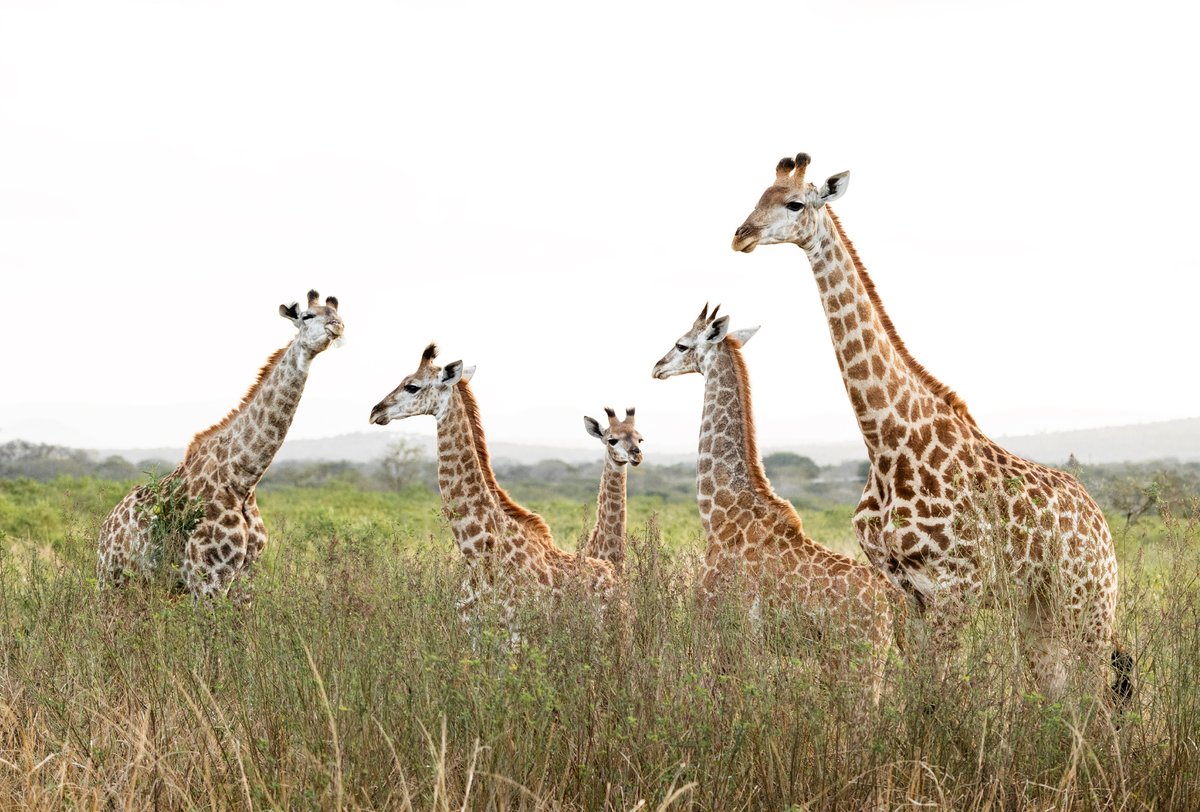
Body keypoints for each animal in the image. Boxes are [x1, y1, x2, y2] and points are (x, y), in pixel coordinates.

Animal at [97, 290, 344, 598]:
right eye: (307, 316)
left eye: (338, 314)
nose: (337, 326)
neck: (242, 479)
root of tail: (105, 526)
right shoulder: (209, 578)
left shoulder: (246, 579)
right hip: (111, 577)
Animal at [368, 344, 616, 631]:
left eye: (412, 386)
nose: (375, 411)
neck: (476, 553)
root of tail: (612, 573)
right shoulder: (470, 629)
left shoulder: (516, 629)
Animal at [652, 306, 905, 701]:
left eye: (681, 344)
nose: (657, 367)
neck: (719, 514)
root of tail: (892, 600)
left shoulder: (717, 621)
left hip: (862, 658)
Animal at [732, 153, 1129, 703]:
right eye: (758, 196)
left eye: (793, 203)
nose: (741, 235)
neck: (887, 444)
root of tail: (1099, 521)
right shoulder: (906, 592)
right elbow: (919, 695)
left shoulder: (954, 590)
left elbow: (940, 697)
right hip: (1038, 607)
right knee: (1055, 692)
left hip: (1087, 598)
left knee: (1096, 698)